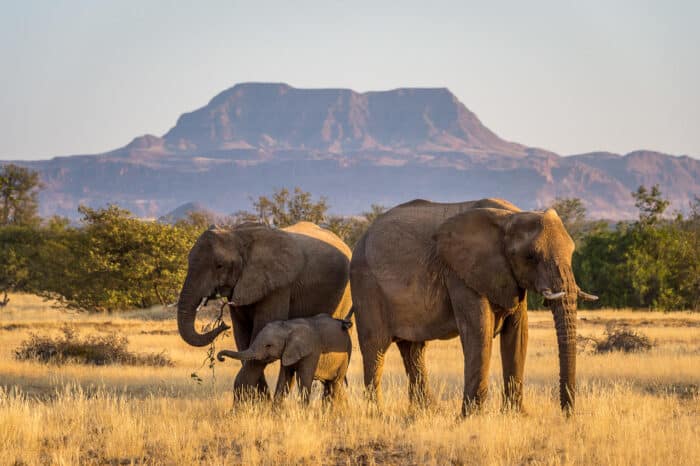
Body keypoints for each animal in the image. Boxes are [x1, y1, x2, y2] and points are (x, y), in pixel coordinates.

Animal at [175, 222, 350, 396]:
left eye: (219, 266)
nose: (224, 325)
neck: (238, 234)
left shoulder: (279, 286)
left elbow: (261, 331)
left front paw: (243, 401)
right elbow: (242, 337)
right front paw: (259, 400)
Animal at [217, 314, 352, 404]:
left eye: (268, 346)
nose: (221, 357)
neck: (288, 326)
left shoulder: (312, 351)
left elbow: (304, 380)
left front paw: (303, 415)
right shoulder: (287, 351)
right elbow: (284, 379)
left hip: (346, 353)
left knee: (335, 384)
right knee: (329, 386)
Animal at [350, 198, 596, 414]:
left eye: (572, 252)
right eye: (530, 256)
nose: (567, 415)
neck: (510, 217)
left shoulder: (511, 277)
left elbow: (518, 335)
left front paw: (516, 415)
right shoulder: (459, 273)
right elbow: (479, 330)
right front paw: (470, 417)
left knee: (413, 350)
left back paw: (427, 411)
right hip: (366, 285)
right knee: (375, 347)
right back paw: (376, 414)